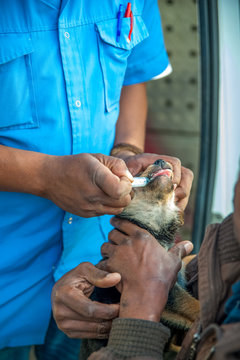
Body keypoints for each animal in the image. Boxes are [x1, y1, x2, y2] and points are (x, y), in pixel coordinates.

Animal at [79, 159, 200, 358]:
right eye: (138, 171)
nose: (160, 160)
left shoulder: (181, 268)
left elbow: (189, 260)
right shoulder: (170, 293)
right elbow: (191, 305)